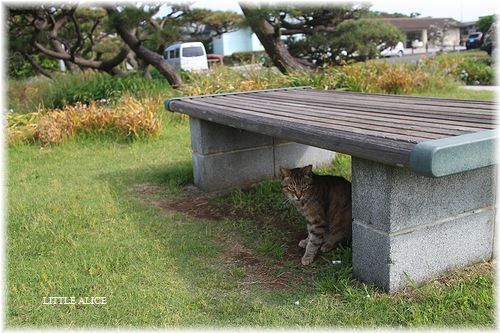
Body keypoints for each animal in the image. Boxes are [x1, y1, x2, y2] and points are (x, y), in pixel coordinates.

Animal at [164, 87, 496, 292]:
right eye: (291, 186)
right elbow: (307, 233)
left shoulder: (319, 218)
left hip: (343, 224)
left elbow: (315, 238)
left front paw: (309, 254)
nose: (298, 195)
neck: (302, 203)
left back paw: (326, 245)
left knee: (338, 238)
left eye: (304, 186)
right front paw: (303, 242)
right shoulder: (308, 218)